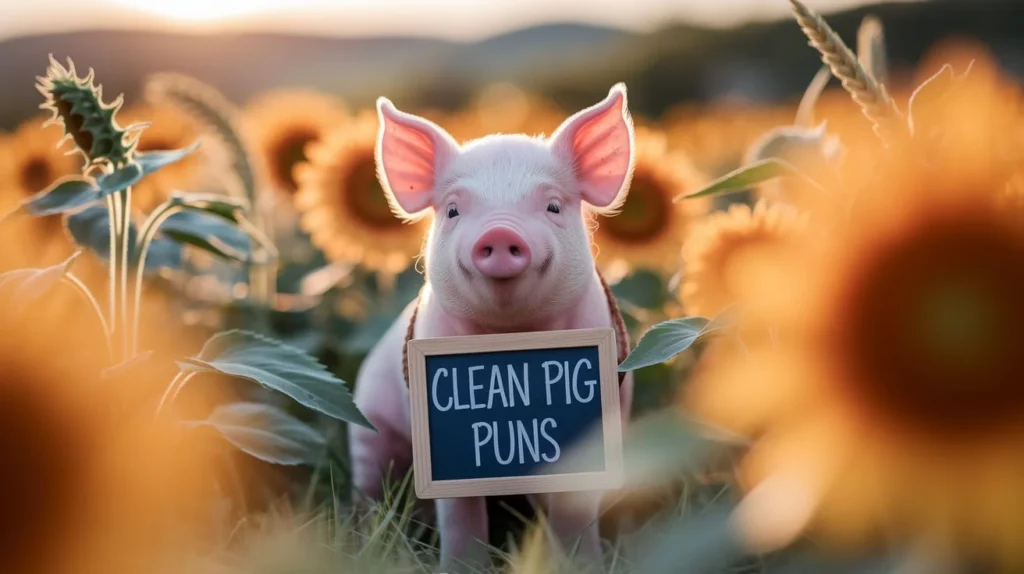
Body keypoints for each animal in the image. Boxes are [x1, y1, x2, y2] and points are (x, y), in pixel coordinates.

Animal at [349, 83, 636, 570]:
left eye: (552, 205)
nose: (500, 233)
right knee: (373, 494)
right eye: (452, 211)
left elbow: (574, 514)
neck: (512, 334)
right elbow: (461, 516)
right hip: (367, 430)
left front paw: (583, 563)